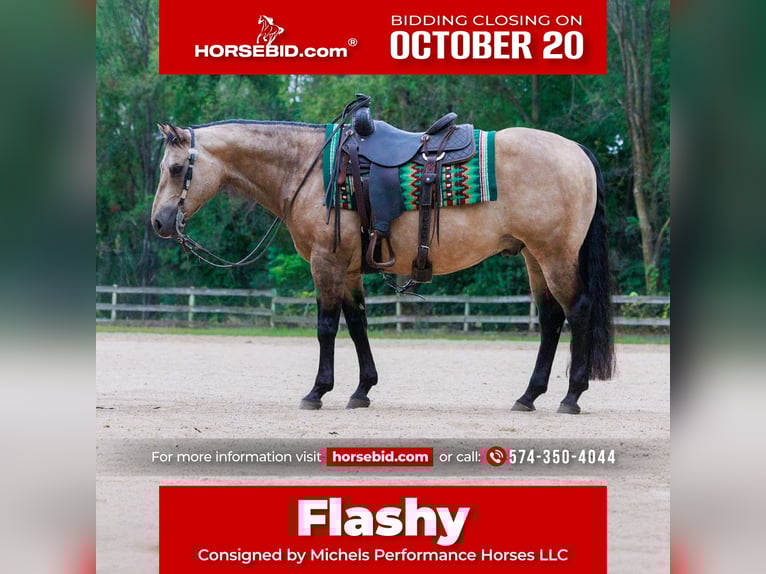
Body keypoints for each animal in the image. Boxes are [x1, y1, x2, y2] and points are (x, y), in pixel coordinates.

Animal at [151, 113, 615, 415]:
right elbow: (357, 325)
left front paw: (317, 391)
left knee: (577, 311)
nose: (158, 221)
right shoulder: (350, 269)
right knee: (552, 319)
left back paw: (571, 396)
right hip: (535, 258)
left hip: (555, 256)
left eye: (174, 169)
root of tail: (575, 149)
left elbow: (326, 327)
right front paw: (362, 390)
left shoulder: (326, 263)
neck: (309, 169)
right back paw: (529, 396)